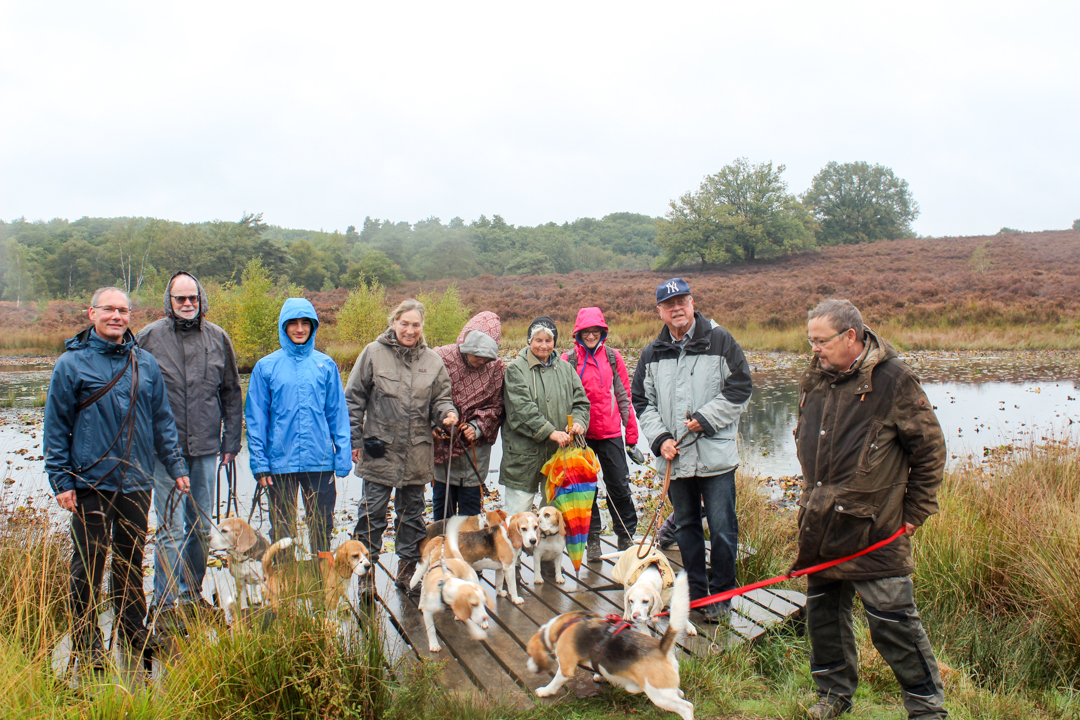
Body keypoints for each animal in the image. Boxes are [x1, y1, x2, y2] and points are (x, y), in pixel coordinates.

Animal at [416, 515, 494, 651]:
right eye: (473, 604)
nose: (485, 617)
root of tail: (459, 559)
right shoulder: (428, 612)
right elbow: (431, 630)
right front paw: (434, 644)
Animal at [527, 569, 695, 716]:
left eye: (530, 653)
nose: (528, 666)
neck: (560, 627)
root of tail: (661, 648)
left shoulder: (566, 668)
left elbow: (555, 682)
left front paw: (544, 691)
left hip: (659, 694)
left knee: (686, 707)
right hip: (667, 690)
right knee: (680, 693)